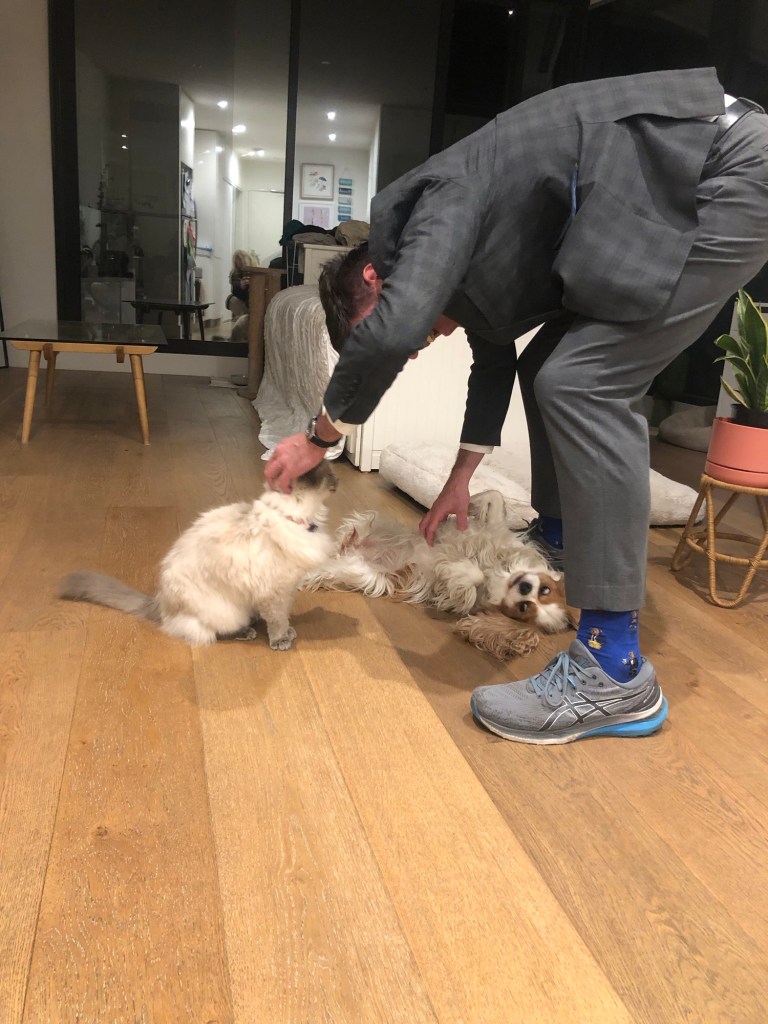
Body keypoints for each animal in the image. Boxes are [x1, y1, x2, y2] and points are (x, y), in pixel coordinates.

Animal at [59, 464, 337, 649]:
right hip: (228, 611)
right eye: (330, 475)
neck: (297, 519)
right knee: (212, 631)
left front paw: (288, 631)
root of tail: (159, 602)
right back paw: (246, 631)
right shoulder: (274, 592)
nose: (338, 480)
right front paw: (281, 639)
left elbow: (284, 615)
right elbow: (277, 619)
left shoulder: (286, 588)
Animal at [303, 489, 574, 659]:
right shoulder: (496, 532)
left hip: (361, 573)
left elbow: (471, 577)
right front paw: (465, 503)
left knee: (321, 569)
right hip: (370, 521)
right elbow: (494, 498)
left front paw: (455, 567)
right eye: (545, 589)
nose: (524, 588)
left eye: (523, 609)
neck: (500, 566)